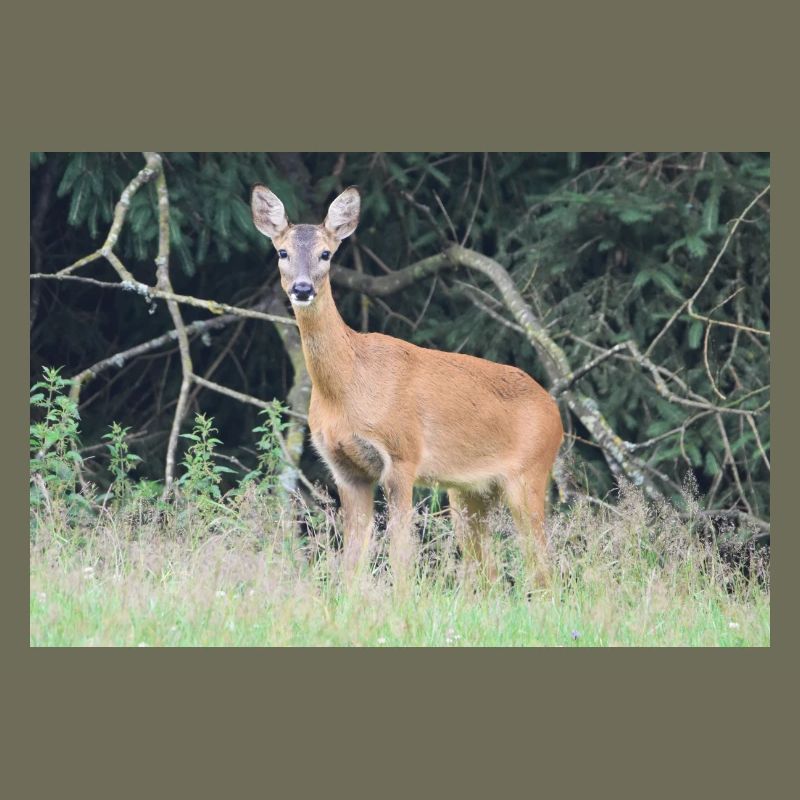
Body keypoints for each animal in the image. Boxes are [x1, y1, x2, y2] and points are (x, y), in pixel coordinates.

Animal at [251, 185, 563, 589]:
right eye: (282, 252)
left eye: (326, 253)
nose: (302, 288)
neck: (348, 390)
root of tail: (555, 412)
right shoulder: (345, 469)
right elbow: (352, 558)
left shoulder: (402, 455)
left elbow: (402, 553)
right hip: (468, 492)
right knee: (488, 570)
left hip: (529, 474)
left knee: (542, 567)